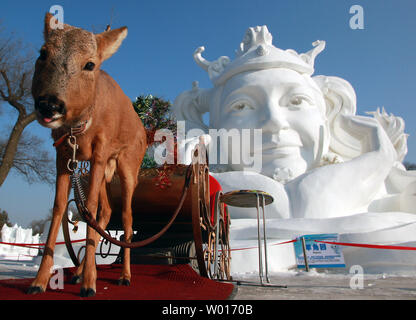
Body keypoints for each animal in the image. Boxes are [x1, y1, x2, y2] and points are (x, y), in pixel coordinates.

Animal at [29, 12, 147, 298]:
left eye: (90, 64)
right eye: (43, 52)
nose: (49, 104)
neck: (80, 131)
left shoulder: (100, 151)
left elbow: (90, 207)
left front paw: (90, 284)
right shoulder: (63, 155)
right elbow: (60, 208)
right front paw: (39, 281)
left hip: (128, 167)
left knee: (127, 219)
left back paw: (124, 276)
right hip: (105, 171)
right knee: (106, 211)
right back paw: (79, 271)